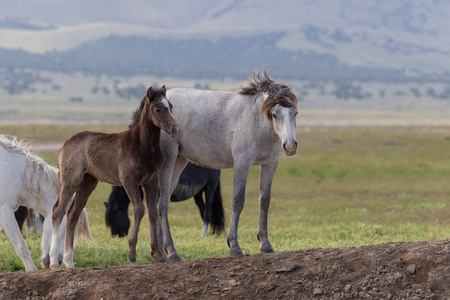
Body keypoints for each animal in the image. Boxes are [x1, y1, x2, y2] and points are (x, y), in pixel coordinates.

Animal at [50, 85, 180, 270]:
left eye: (171, 106)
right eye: (157, 109)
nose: (175, 128)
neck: (142, 146)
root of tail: (64, 146)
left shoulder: (151, 180)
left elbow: (152, 212)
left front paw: (159, 255)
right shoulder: (128, 179)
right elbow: (139, 209)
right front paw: (132, 253)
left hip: (87, 182)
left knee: (72, 214)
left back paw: (69, 262)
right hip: (70, 181)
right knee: (58, 211)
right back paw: (54, 262)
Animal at [156, 67, 298, 262]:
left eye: (295, 113)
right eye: (275, 114)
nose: (290, 145)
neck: (256, 120)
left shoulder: (270, 164)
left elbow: (265, 201)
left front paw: (265, 244)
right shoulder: (242, 163)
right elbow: (237, 201)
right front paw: (234, 246)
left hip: (180, 161)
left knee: (161, 202)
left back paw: (162, 251)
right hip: (169, 160)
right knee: (162, 203)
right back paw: (172, 252)